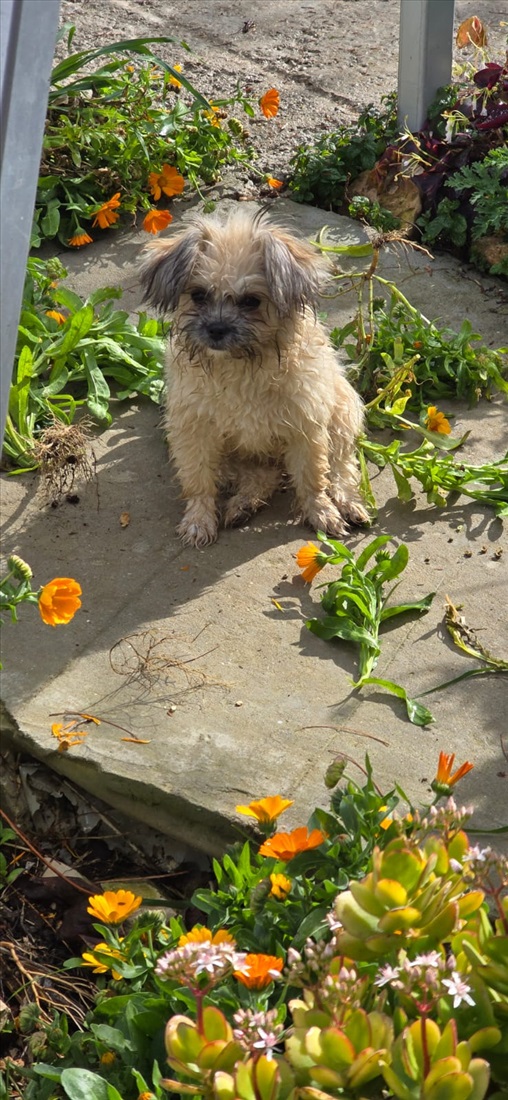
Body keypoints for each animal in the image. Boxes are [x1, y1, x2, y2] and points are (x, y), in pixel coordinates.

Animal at [140, 207, 367, 547]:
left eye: (251, 301)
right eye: (198, 295)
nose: (216, 329)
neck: (240, 367)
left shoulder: (306, 428)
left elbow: (313, 477)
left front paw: (321, 512)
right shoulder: (194, 430)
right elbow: (197, 480)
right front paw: (198, 520)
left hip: (343, 411)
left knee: (341, 467)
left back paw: (348, 502)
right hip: (234, 455)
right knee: (261, 476)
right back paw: (242, 505)